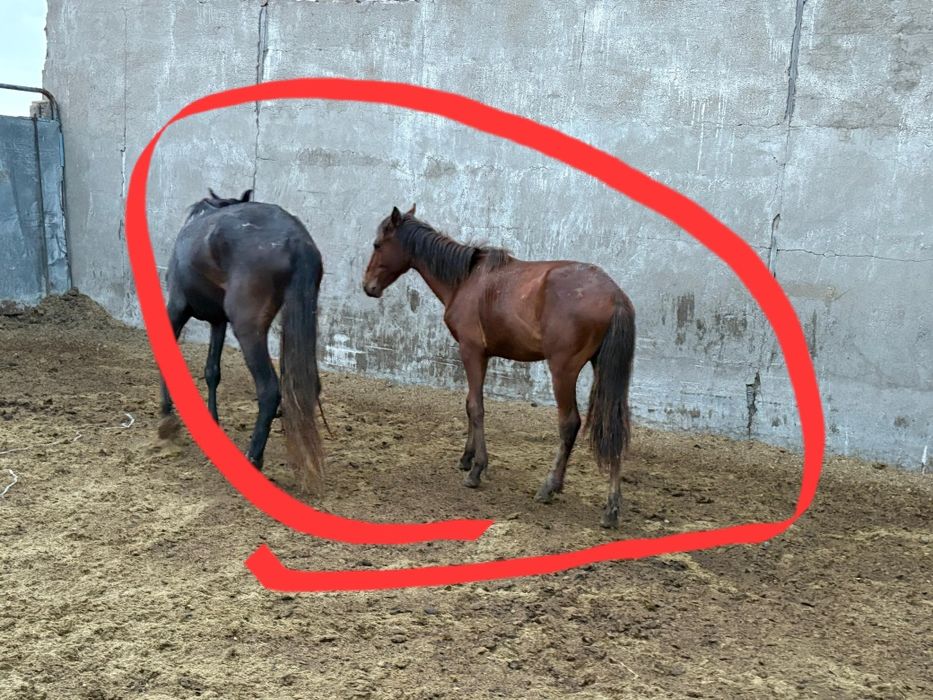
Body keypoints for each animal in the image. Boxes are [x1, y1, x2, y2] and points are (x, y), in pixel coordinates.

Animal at [158, 188, 325, 493]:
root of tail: (296, 241)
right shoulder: (218, 321)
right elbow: (212, 371)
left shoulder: (176, 307)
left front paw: (167, 418)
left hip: (248, 329)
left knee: (269, 389)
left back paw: (253, 458)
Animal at [363, 205, 636, 528]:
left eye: (378, 245)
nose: (368, 286)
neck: (466, 279)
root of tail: (614, 295)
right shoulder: (481, 356)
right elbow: (471, 404)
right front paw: (466, 458)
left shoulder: (471, 351)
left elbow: (475, 407)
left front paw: (477, 469)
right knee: (613, 427)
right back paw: (611, 507)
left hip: (563, 371)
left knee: (570, 424)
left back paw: (550, 487)